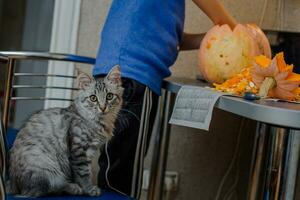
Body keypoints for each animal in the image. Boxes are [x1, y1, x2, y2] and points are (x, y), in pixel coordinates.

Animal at [8, 66, 123, 197]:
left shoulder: (90, 151)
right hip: (45, 166)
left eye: (109, 96)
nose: (103, 108)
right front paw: (89, 189)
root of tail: (13, 184)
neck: (97, 122)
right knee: (48, 188)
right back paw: (73, 188)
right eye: (93, 98)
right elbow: (84, 174)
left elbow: (86, 172)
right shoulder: (79, 149)